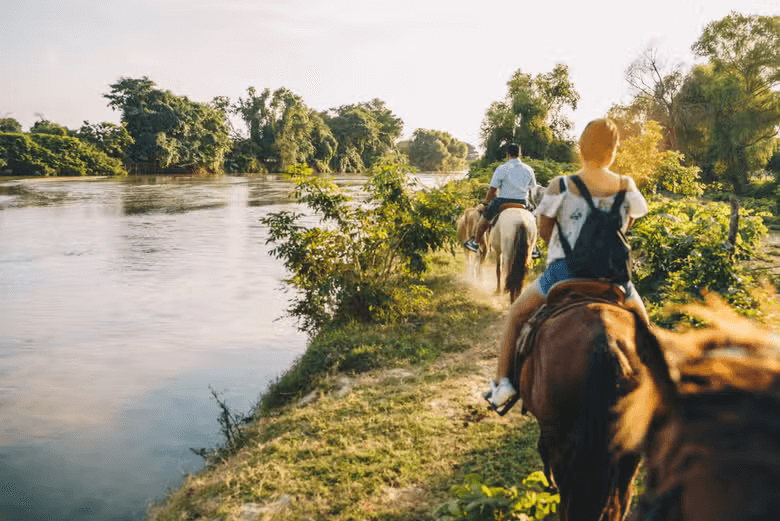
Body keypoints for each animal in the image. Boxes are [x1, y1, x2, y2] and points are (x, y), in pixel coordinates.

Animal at [516, 280, 656, 520]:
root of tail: (607, 343)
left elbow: (542, 448)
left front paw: (548, 485)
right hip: (630, 445)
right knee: (621, 497)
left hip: (564, 447)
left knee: (568, 499)